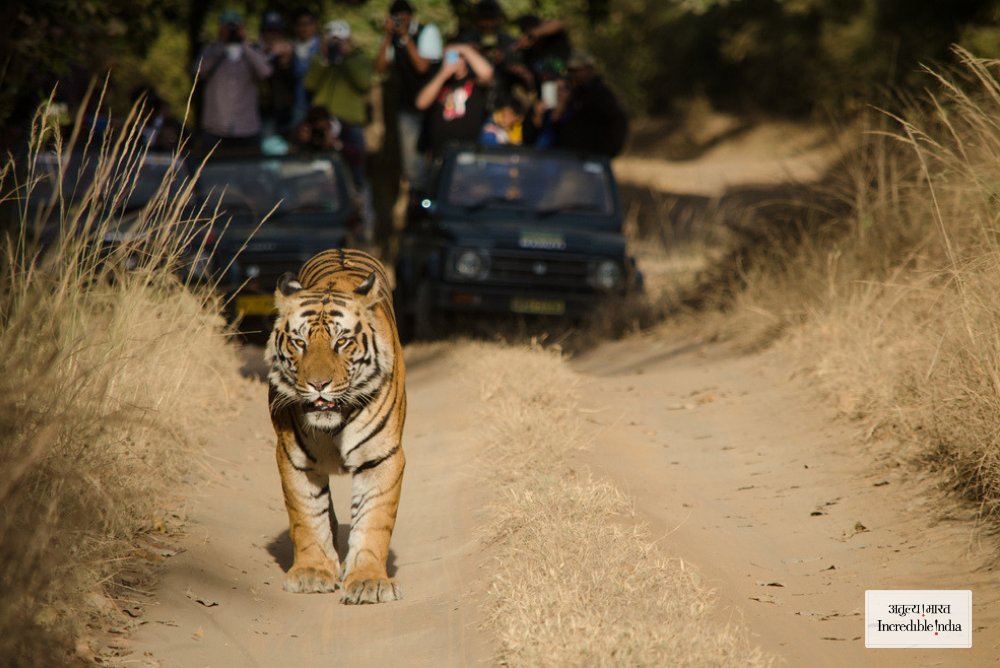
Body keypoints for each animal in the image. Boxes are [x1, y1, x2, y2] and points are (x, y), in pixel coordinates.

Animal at [268, 249, 408, 604]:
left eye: (342, 342)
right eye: (299, 342)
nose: (318, 385)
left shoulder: (381, 457)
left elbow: (373, 520)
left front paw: (369, 581)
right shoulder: (294, 458)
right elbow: (306, 516)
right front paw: (312, 572)